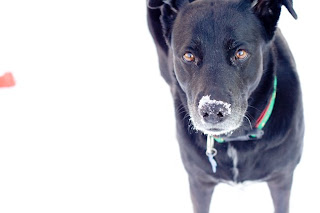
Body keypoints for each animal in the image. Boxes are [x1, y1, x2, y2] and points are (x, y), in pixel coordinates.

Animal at [147, 0, 302, 212]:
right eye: (188, 56)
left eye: (240, 53)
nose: (213, 110)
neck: (235, 139)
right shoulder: (199, 181)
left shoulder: (282, 177)